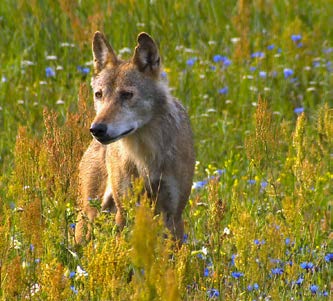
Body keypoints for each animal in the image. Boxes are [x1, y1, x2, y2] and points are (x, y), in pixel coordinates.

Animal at [75, 31, 195, 245]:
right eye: (99, 94)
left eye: (127, 95)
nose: (97, 129)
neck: (146, 155)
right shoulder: (124, 211)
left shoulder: (174, 215)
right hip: (89, 218)